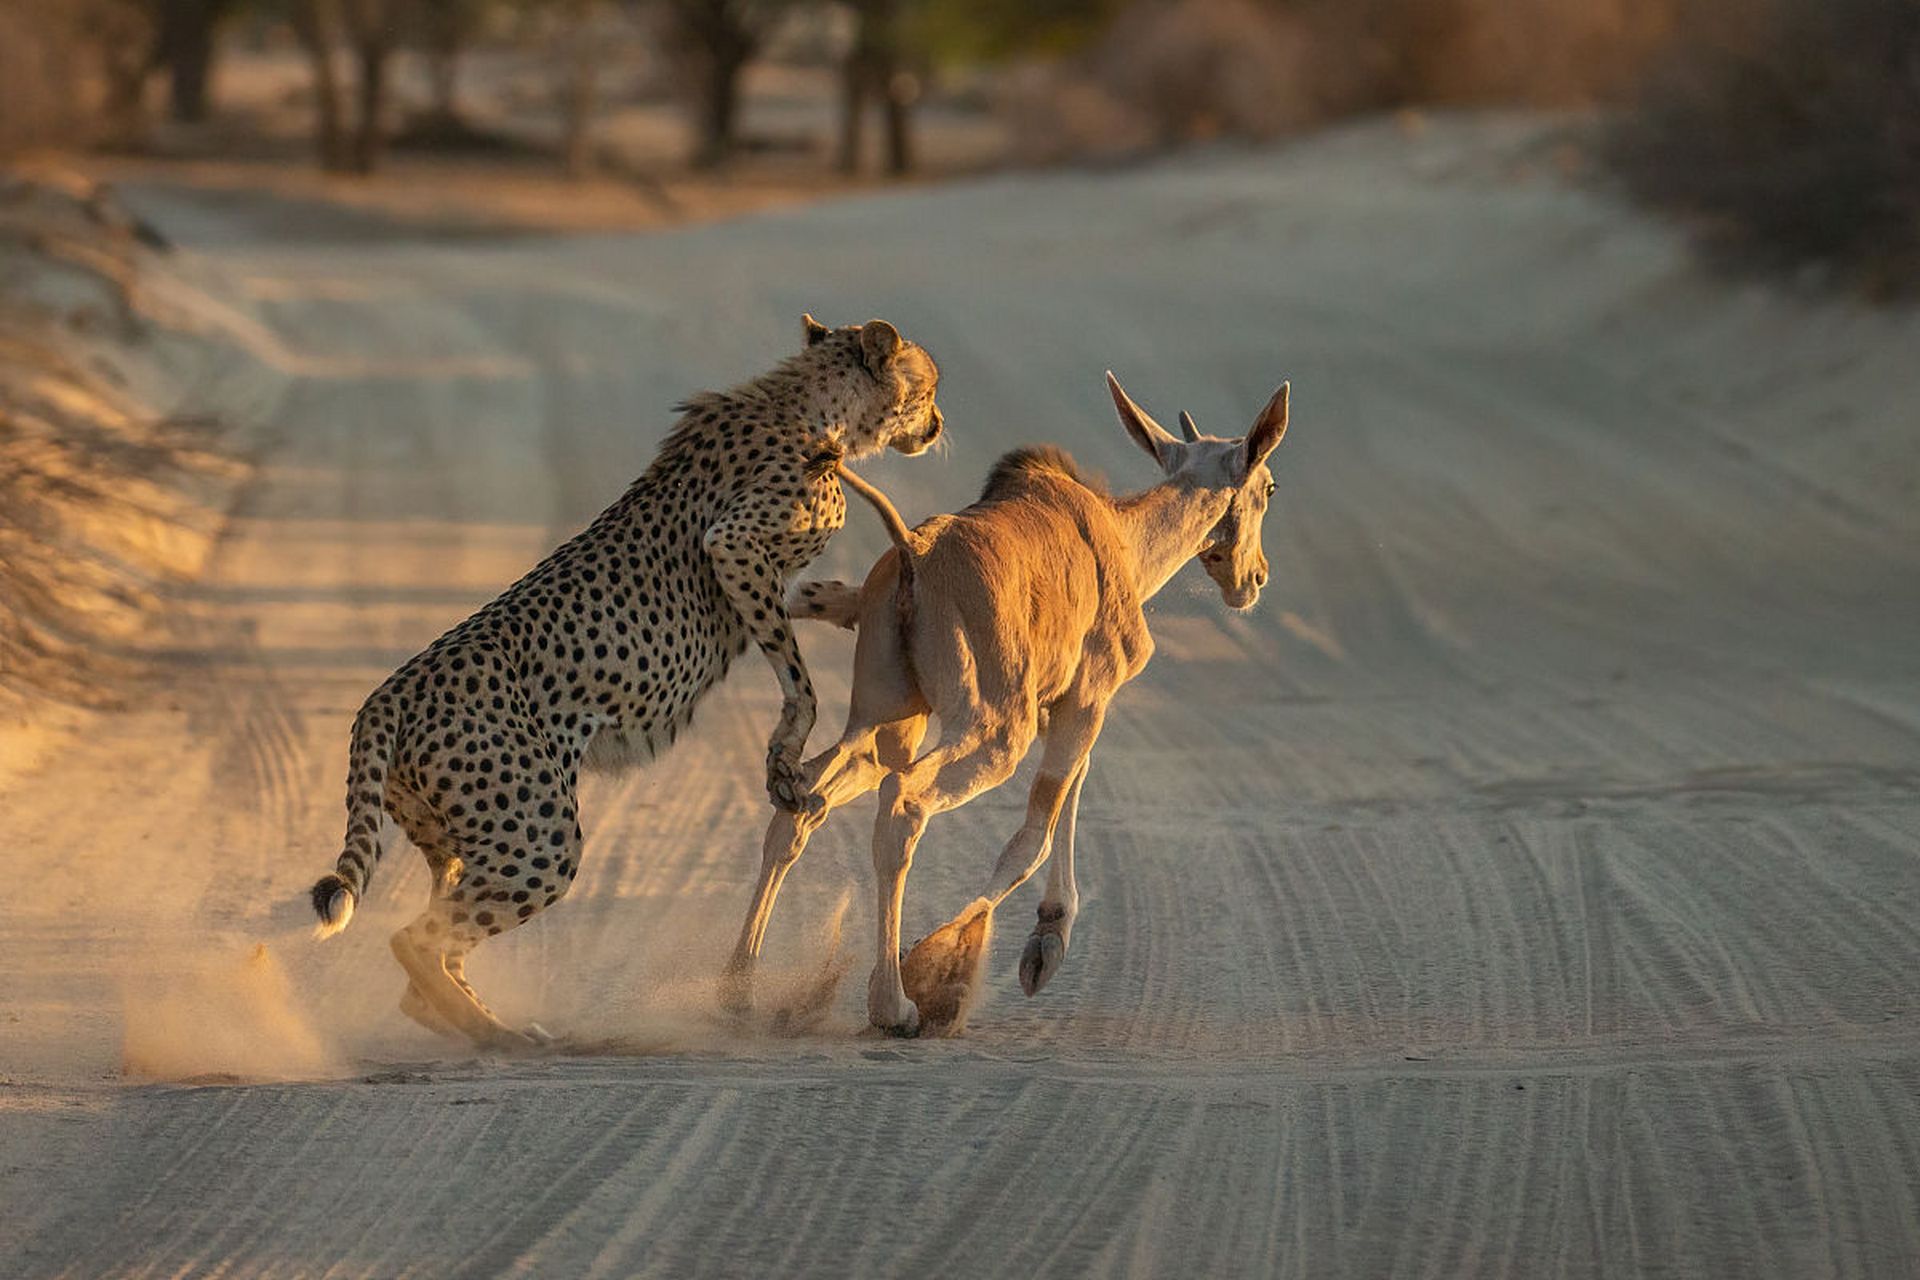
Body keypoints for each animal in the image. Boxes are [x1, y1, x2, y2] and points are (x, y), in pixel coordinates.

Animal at [303, 314, 940, 1043]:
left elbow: (799, 635)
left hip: (460, 841)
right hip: (539, 836)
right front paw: (784, 760)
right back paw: (500, 1037)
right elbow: (797, 676)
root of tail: (390, 690)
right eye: (929, 388)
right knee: (416, 940)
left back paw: (480, 1023)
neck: (807, 403)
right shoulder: (734, 547)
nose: (938, 425)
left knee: (431, 956)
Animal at [721, 376, 1290, 1036]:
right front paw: (975, 962)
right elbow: (1033, 834)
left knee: (802, 804)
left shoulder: (1061, 706)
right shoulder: (1088, 697)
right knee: (904, 805)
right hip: (994, 730)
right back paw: (894, 1004)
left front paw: (1044, 937)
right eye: (1269, 487)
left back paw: (740, 990)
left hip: (885, 721)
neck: (1124, 540)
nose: (1255, 578)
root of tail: (911, 555)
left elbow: (1065, 798)